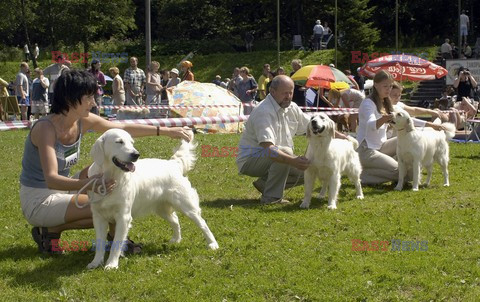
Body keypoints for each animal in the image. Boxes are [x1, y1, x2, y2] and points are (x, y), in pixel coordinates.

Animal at [87, 128, 218, 268]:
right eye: (119, 142)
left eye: (132, 142)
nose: (136, 154)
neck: (111, 177)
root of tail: (173, 163)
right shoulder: (98, 217)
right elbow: (100, 243)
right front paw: (95, 262)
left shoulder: (123, 217)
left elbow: (116, 244)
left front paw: (111, 264)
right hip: (162, 209)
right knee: (175, 220)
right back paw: (176, 239)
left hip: (186, 206)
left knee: (202, 223)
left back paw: (213, 244)